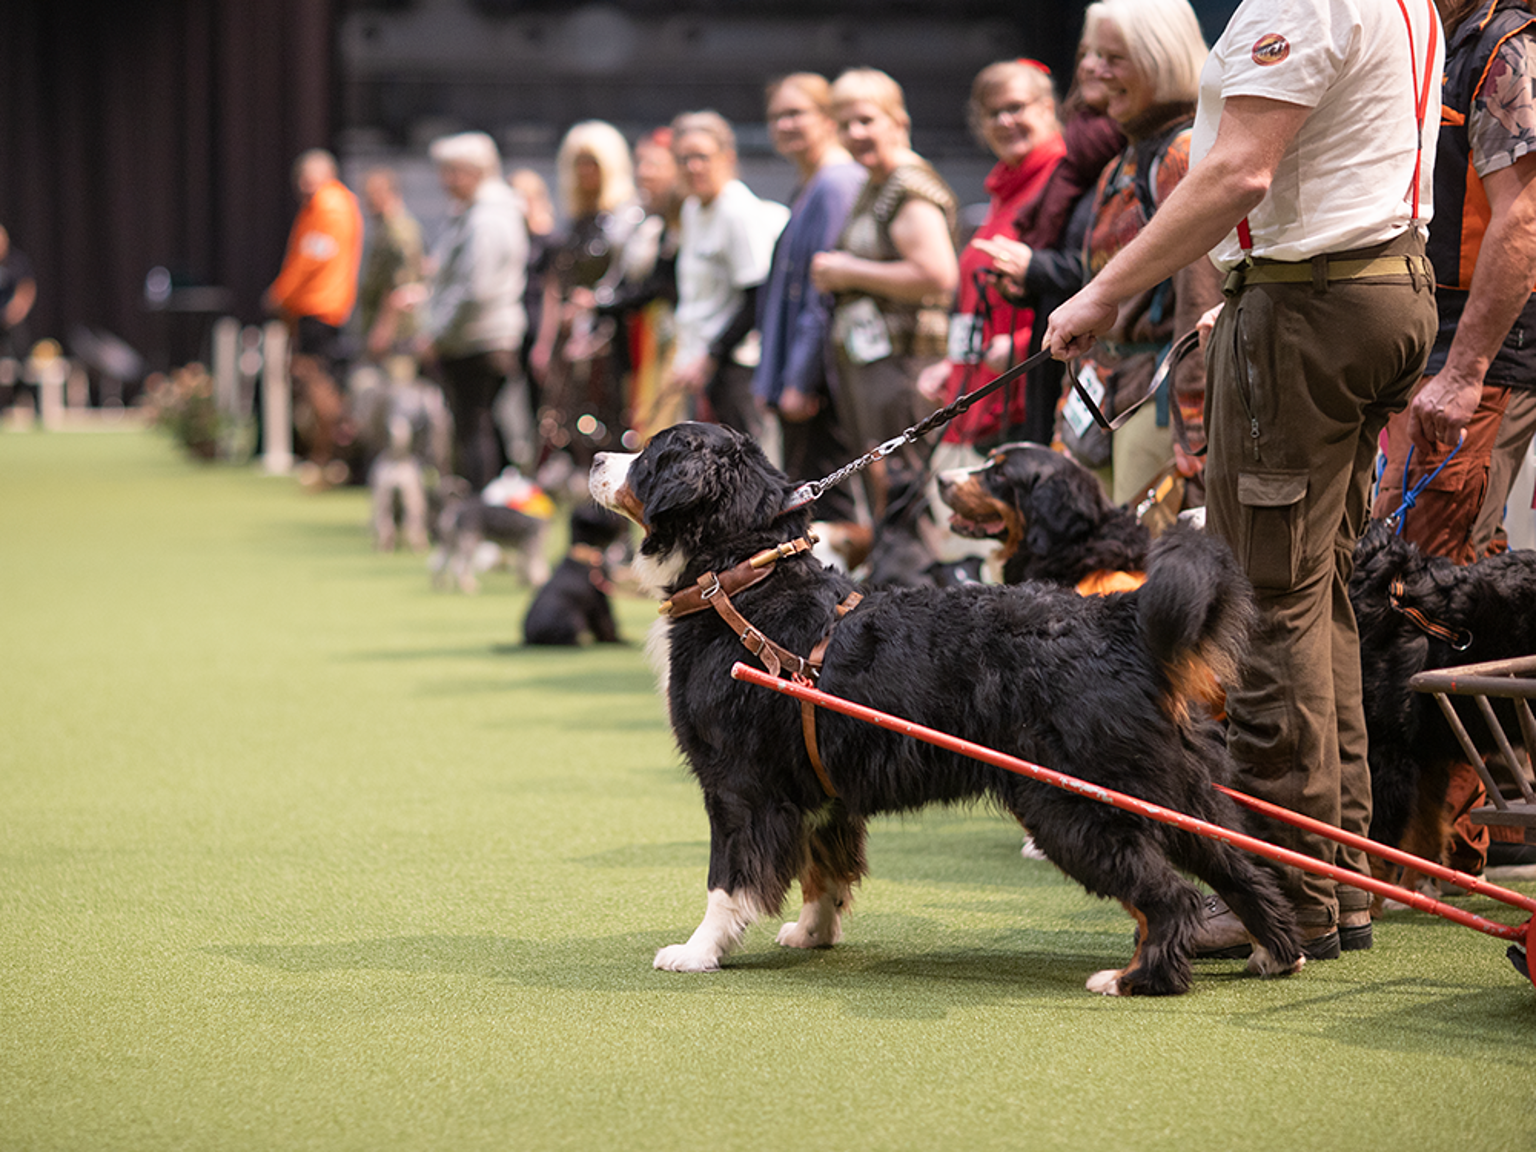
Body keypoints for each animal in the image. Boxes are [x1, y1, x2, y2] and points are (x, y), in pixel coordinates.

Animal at [525, 503, 626, 651]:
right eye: (601, 512)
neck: (587, 556)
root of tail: (528, 641)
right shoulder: (599, 601)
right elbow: (606, 623)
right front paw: (617, 642)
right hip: (573, 620)